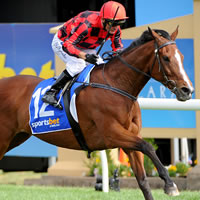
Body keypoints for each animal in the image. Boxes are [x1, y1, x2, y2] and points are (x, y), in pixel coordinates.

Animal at [0, 27, 193, 200]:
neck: (116, 85)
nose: (187, 90)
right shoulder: (111, 134)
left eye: (182, 57)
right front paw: (170, 184)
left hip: (17, 137)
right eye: (166, 58)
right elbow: (148, 146)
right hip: (4, 138)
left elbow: (143, 179)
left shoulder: (130, 138)